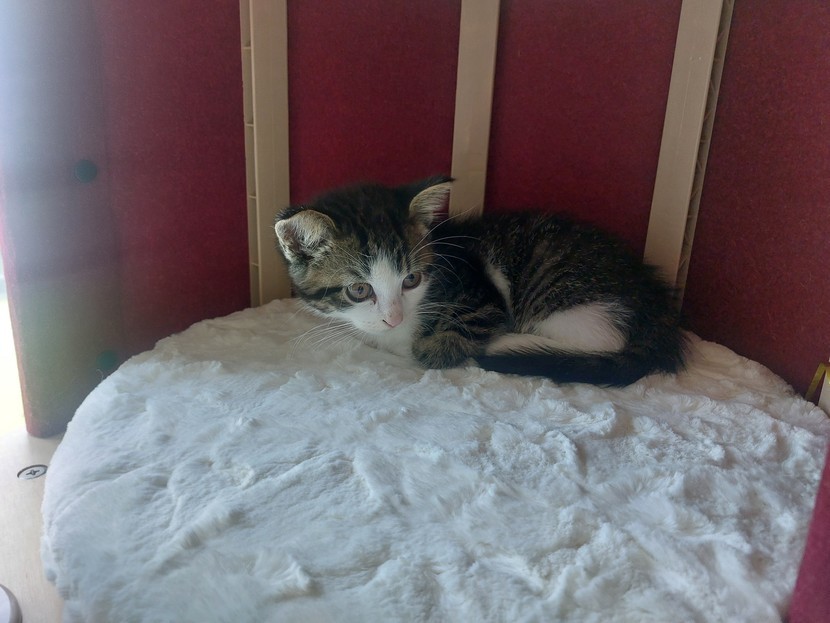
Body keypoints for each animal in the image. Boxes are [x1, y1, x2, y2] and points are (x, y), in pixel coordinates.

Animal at [274, 176, 687, 386]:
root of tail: (659, 305)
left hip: (567, 294)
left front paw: (428, 346)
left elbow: (435, 345)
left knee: (604, 340)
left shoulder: (481, 295)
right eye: (359, 290)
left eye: (411, 280)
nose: (395, 318)